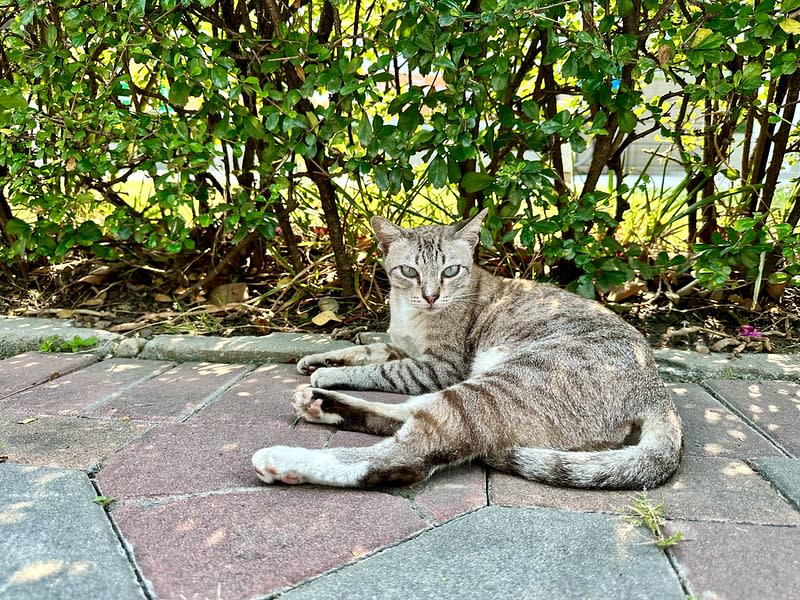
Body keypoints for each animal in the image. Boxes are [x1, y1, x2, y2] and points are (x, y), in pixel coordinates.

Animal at [253, 209, 684, 490]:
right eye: (408, 271)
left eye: (450, 271)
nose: (431, 295)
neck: (410, 312)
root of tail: (658, 393)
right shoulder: (401, 349)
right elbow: (366, 351)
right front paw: (317, 359)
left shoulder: (436, 367)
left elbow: (374, 370)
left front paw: (329, 371)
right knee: (411, 416)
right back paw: (319, 403)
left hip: (494, 385)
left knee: (411, 452)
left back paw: (286, 458)